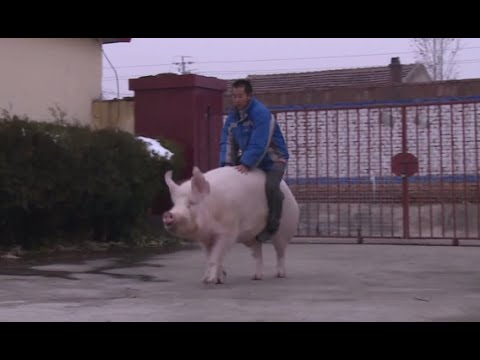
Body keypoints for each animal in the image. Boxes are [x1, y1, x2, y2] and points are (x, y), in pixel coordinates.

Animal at [165, 166, 300, 284]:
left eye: (190, 204)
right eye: (174, 205)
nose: (168, 214)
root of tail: (288, 190)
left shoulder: (228, 231)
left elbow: (215, 257)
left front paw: (210, 281)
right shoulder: (204, 239)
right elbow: (210, 257)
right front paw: (210, 280)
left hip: (283, 230)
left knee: (280, 252)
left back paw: (280, 274)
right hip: (251, 237)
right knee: (258, 253)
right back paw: (256, 277)